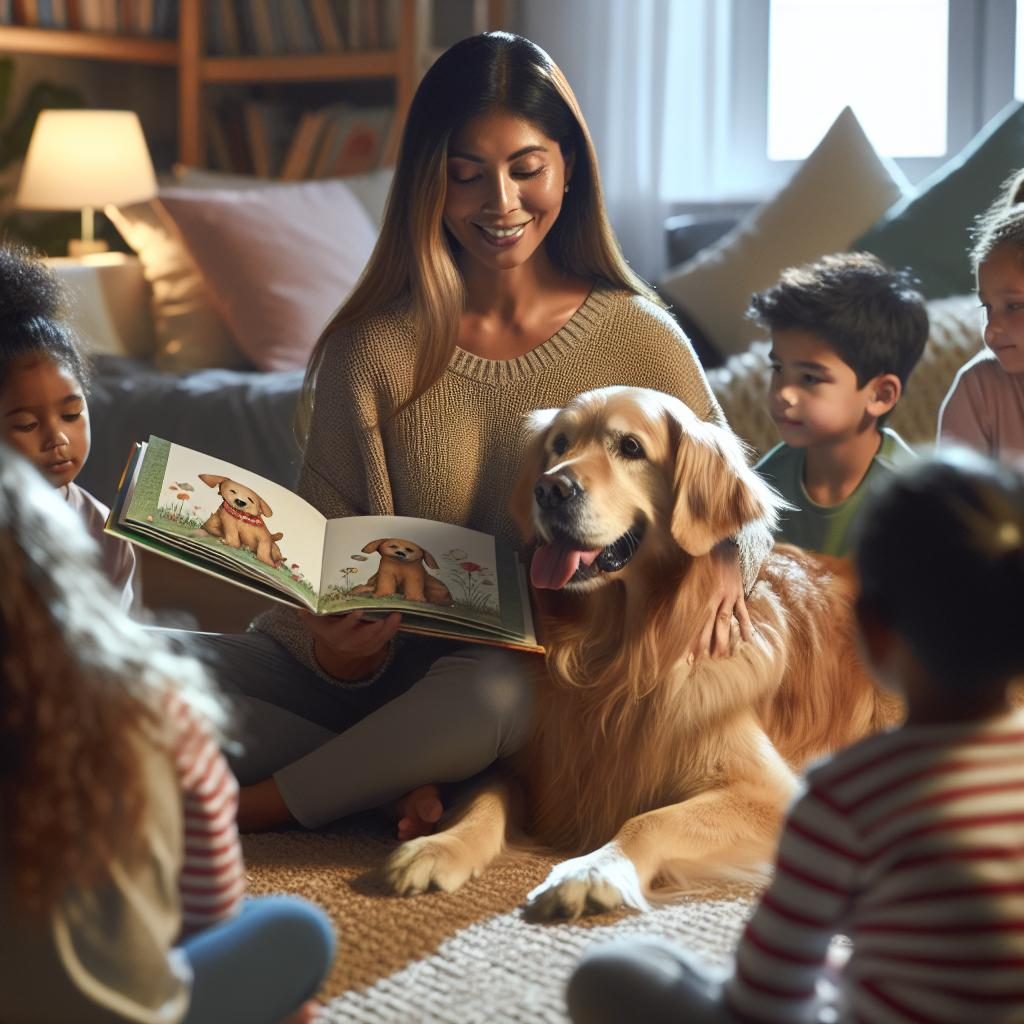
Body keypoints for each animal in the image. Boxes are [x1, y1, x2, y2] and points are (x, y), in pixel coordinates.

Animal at [382, 385, 897, 921]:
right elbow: (485, 796)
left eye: (629, 447)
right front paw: (439, 846)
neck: (618, 657)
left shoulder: (771, 792)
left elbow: (649, 820)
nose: (550, 489)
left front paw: (592, 870)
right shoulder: (538, 762)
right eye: (559, 444)